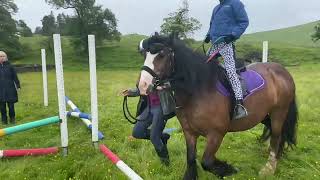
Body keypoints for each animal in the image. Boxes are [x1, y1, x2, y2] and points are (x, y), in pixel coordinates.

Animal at [137, 34, 298, 179]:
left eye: (162, 55)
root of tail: (281, 70)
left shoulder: (216, 134)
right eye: (144, 55)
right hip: (263, 114)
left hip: (279, 112)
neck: (198, 90)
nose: (143, 85)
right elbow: (191, 158)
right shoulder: (189, 132)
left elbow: (206, 162)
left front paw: (228, 169)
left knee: (276, 135)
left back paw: (269, 167)